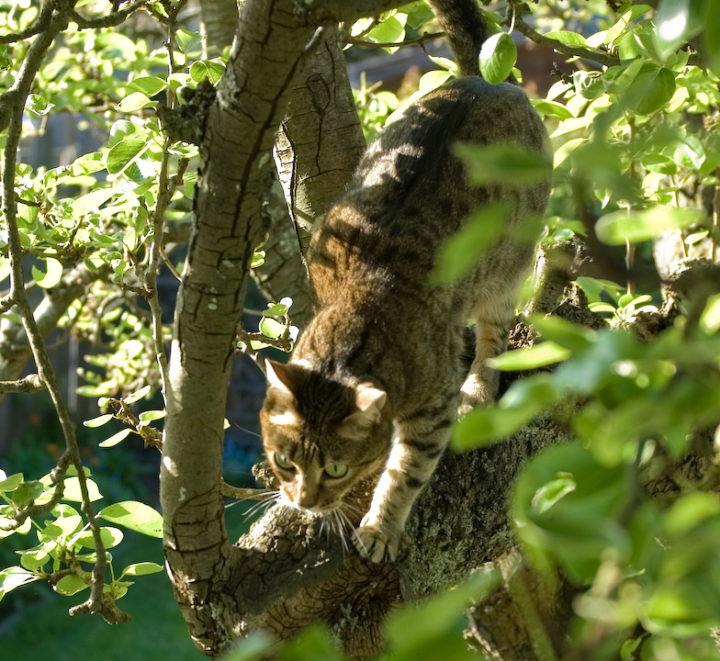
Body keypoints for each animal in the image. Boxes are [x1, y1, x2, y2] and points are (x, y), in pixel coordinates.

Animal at [258, 0, 552, 564]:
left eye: (335, 469)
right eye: (285, 461)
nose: (304, 499)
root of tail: (487, 81)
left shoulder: (431, 410)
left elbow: (404, 472)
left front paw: (379, 527)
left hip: (506, 267)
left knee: (493, 332)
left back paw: (479, 386)